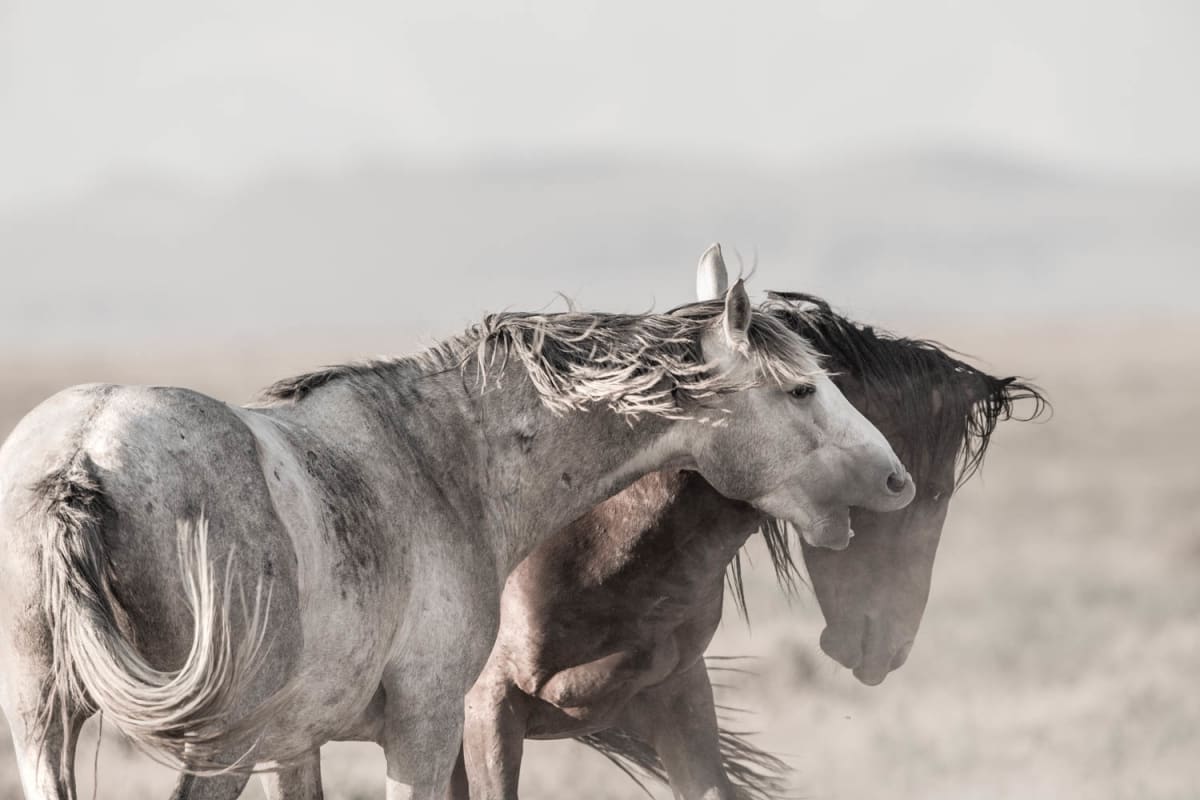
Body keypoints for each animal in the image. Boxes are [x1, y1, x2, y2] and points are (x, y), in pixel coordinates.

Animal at [0, 271, 907, 800]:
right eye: (800, 390)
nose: (896, 479)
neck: (440, 459)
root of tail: (81, 454)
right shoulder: (430, 726)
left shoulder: (299, 747)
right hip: (217, 743)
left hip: (43, 722)